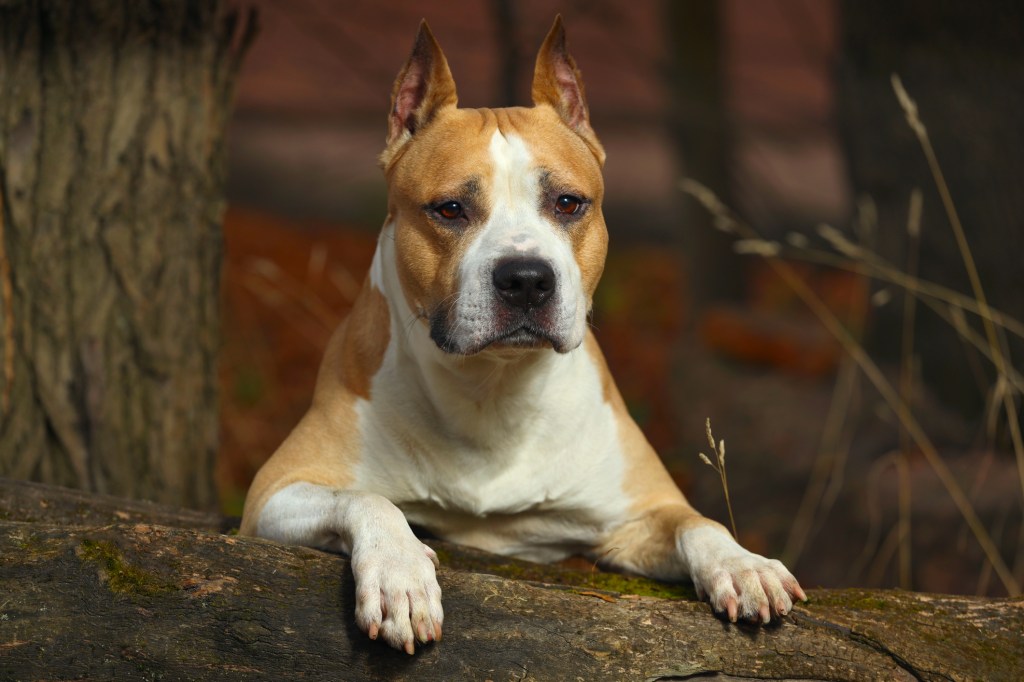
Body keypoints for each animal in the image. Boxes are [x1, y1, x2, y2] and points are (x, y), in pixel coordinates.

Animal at [235, 17, 802, 655]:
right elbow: (367, 497)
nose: (527, 278)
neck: (495, 387)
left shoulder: (638, 514)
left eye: (568, 203)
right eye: (449, 209)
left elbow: (697, 520)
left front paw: (742, 563)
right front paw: (400, 572)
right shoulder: (274, 491)